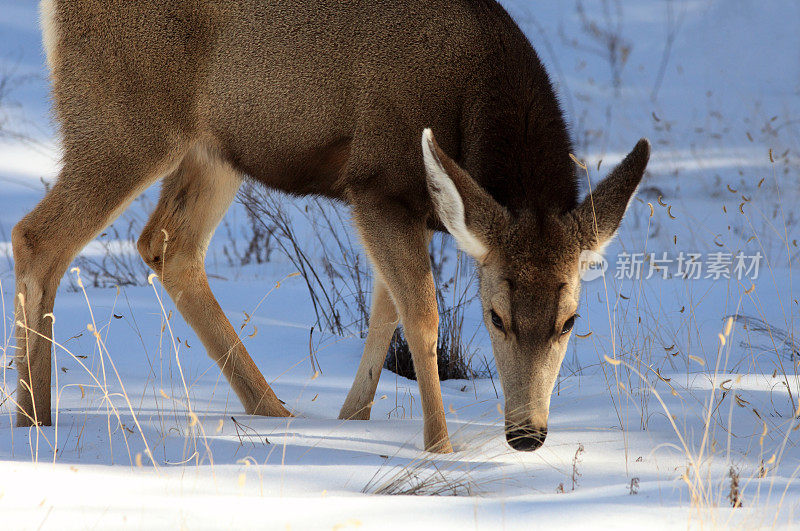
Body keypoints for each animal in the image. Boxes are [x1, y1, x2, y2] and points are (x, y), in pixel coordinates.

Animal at [12, 1, 648, 458]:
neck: (473, 98)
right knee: (36, 237)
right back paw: (34, 420)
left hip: (214, 148)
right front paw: (440, 450)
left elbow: (385, 310)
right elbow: (420, 314)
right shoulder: (378, 179)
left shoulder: (407, 205)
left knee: (167, 245)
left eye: (571, 320)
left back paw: (272, 410)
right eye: (495, 316)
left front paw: (353, 420)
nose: (527, 435)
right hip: (123, 118)